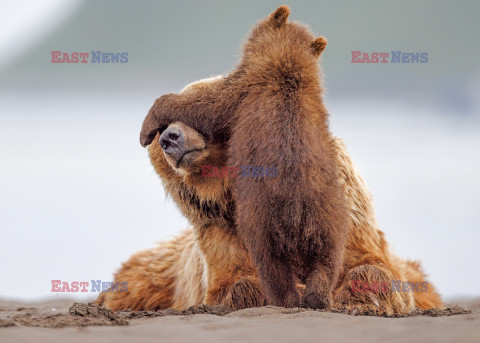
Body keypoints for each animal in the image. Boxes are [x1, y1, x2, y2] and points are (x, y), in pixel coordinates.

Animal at [139, 4, 348, 310]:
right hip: (329, 215)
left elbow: (202, 106)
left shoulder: (241, 92)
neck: (286, 69)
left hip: (262, 216)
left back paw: (284, 298)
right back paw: (317, 298)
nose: (166, 138)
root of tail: (298, 209)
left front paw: (147, 127)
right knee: (327, 259)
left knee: (270, 262)